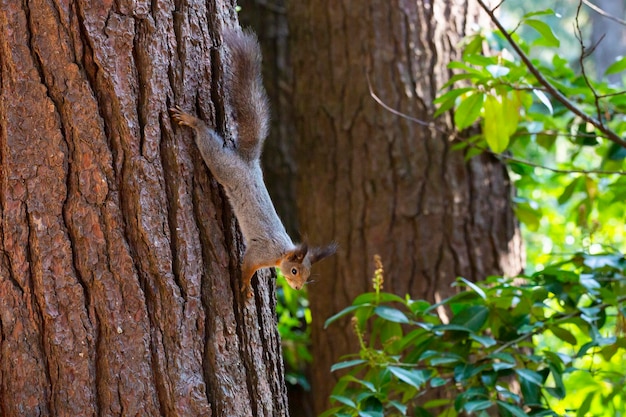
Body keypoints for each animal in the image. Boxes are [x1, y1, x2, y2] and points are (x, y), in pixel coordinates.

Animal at [169, 28, 336, 296]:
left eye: (307, 276)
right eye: (294, 271)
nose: (297, 287)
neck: (281, 252)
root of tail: (248, 162)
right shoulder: (259, 252)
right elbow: (247, 266)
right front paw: (246, 285)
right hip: (223, 165)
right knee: (208, 143)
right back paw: (193, 121)